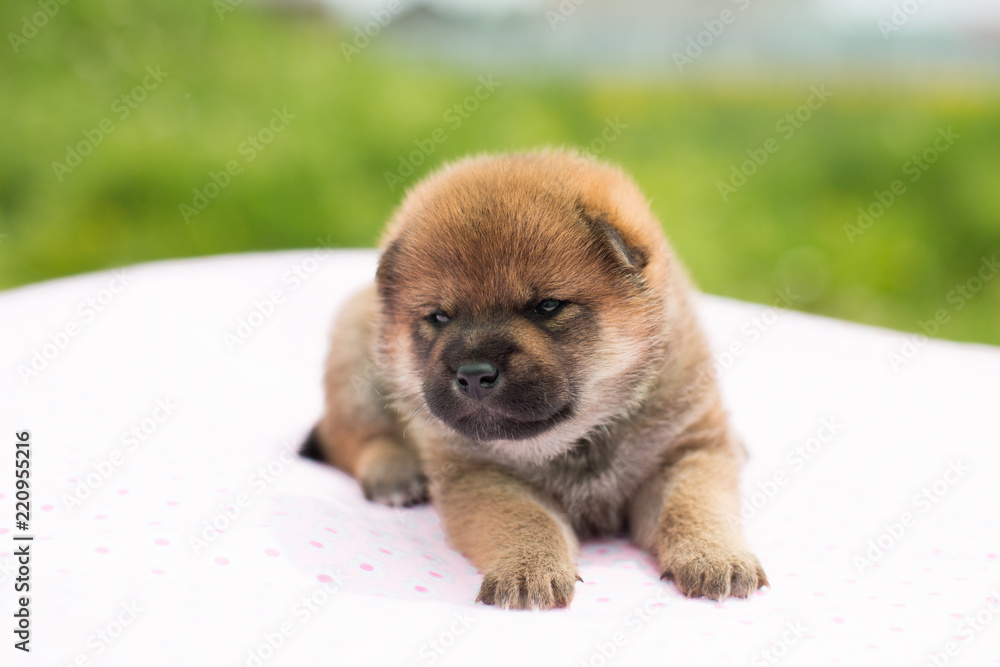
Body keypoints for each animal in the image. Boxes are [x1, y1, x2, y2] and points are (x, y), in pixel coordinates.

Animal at [304, 151, 764, 612]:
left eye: (546, 306)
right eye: (439, 316)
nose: (474, 374)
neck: (579, 441)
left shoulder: (688, 447)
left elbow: (695, 503)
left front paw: (716, 556)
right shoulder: (478, 475)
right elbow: (526, 519)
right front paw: (529, 571)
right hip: (354, 354)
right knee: (351, 434)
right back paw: (395, 473)